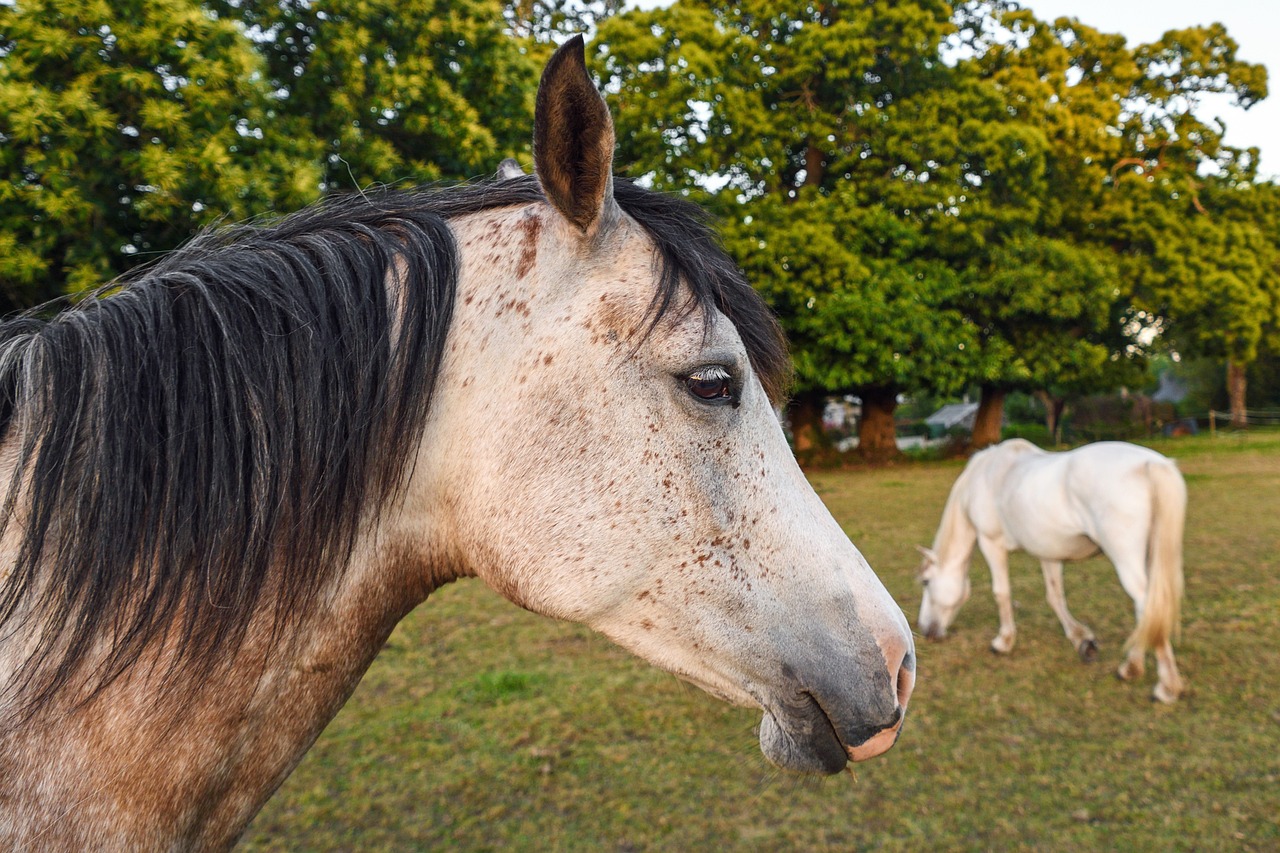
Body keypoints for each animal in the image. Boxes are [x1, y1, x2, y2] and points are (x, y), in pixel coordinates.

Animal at [916, 435, 1182, 701]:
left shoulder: (991, 543)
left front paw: (1003, 642)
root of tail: (1150, 464)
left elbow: (1002, 593)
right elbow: (1055, 597)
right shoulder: (1048, 552)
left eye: (926, 581)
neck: (985, 476)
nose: (924, 630)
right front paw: (1082, 640)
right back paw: (1133, 669)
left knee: (1147, 606)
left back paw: (1164, 685)